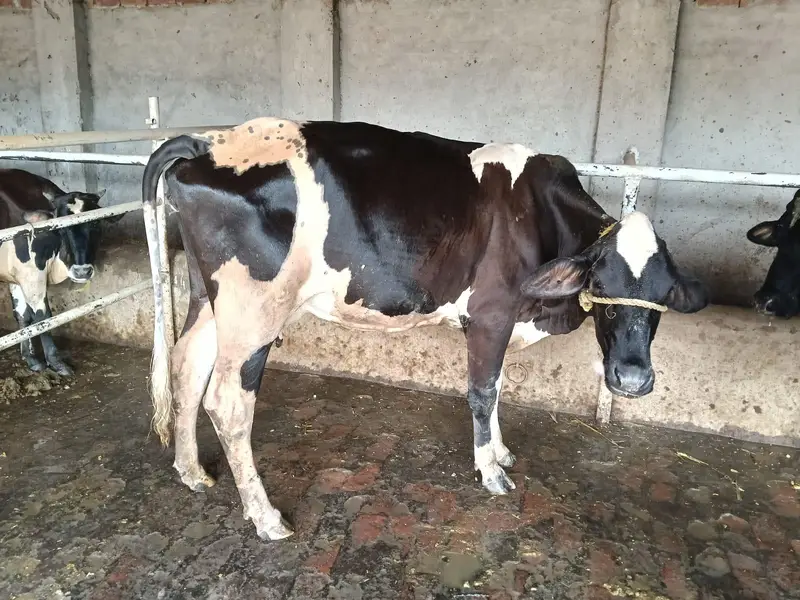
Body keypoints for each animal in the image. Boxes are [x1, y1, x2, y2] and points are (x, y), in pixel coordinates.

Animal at [0, 168, 121, 375]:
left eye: (95, 224)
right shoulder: (31, 275)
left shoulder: (15, 276)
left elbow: (22, 316)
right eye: (62, 229)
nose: (82, 272)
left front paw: (30, 358)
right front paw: (55, 361)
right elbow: (43, 318)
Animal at [140, 118, 709, 541]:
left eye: (662, 299)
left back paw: (191, 471)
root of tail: (211, 140)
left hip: (209, 298)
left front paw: (500, 450)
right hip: (254, 309)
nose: (631, 380)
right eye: (602, 287)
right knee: (228, 402)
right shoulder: (492, 313)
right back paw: (266, 517)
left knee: (186, 363)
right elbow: (482, 391)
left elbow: (497, 387)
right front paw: (491, 471)